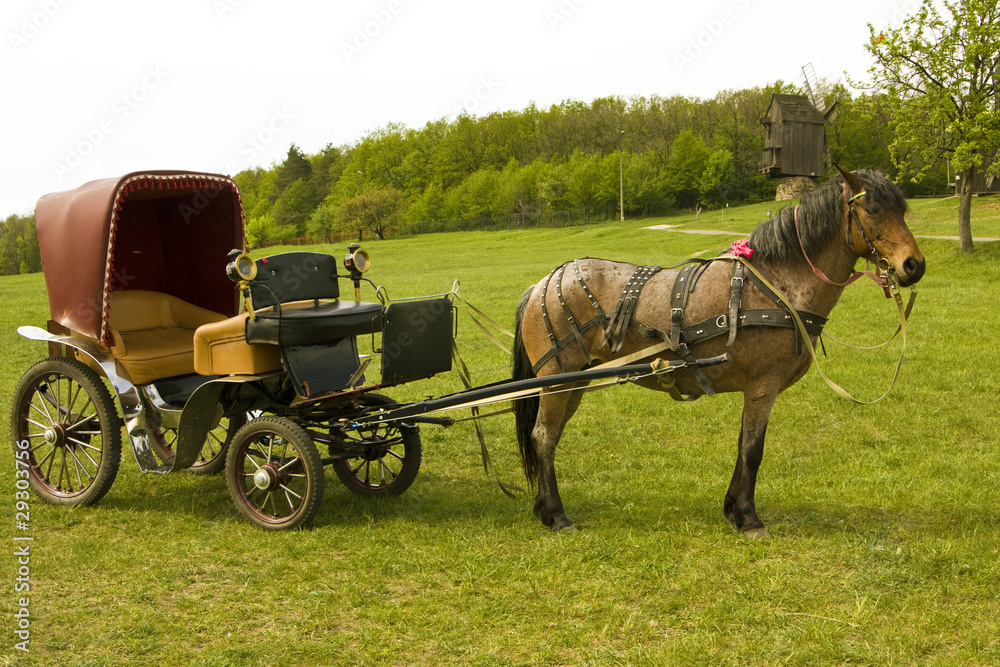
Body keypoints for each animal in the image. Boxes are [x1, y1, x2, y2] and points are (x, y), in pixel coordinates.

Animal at [512, 166, 925, 537]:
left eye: (902, 210)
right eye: (873, 209)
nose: (914, 265)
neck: (777, 286)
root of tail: (541, 284)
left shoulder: (755, 389)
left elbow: (743, 445)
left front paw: (734, 510)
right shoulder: (763, 385)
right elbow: (754, 450)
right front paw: (750, 519)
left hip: (573, 383)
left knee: (548, 437)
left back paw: (543, 508)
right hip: (555, 381)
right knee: (543, 437)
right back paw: (557, 515)